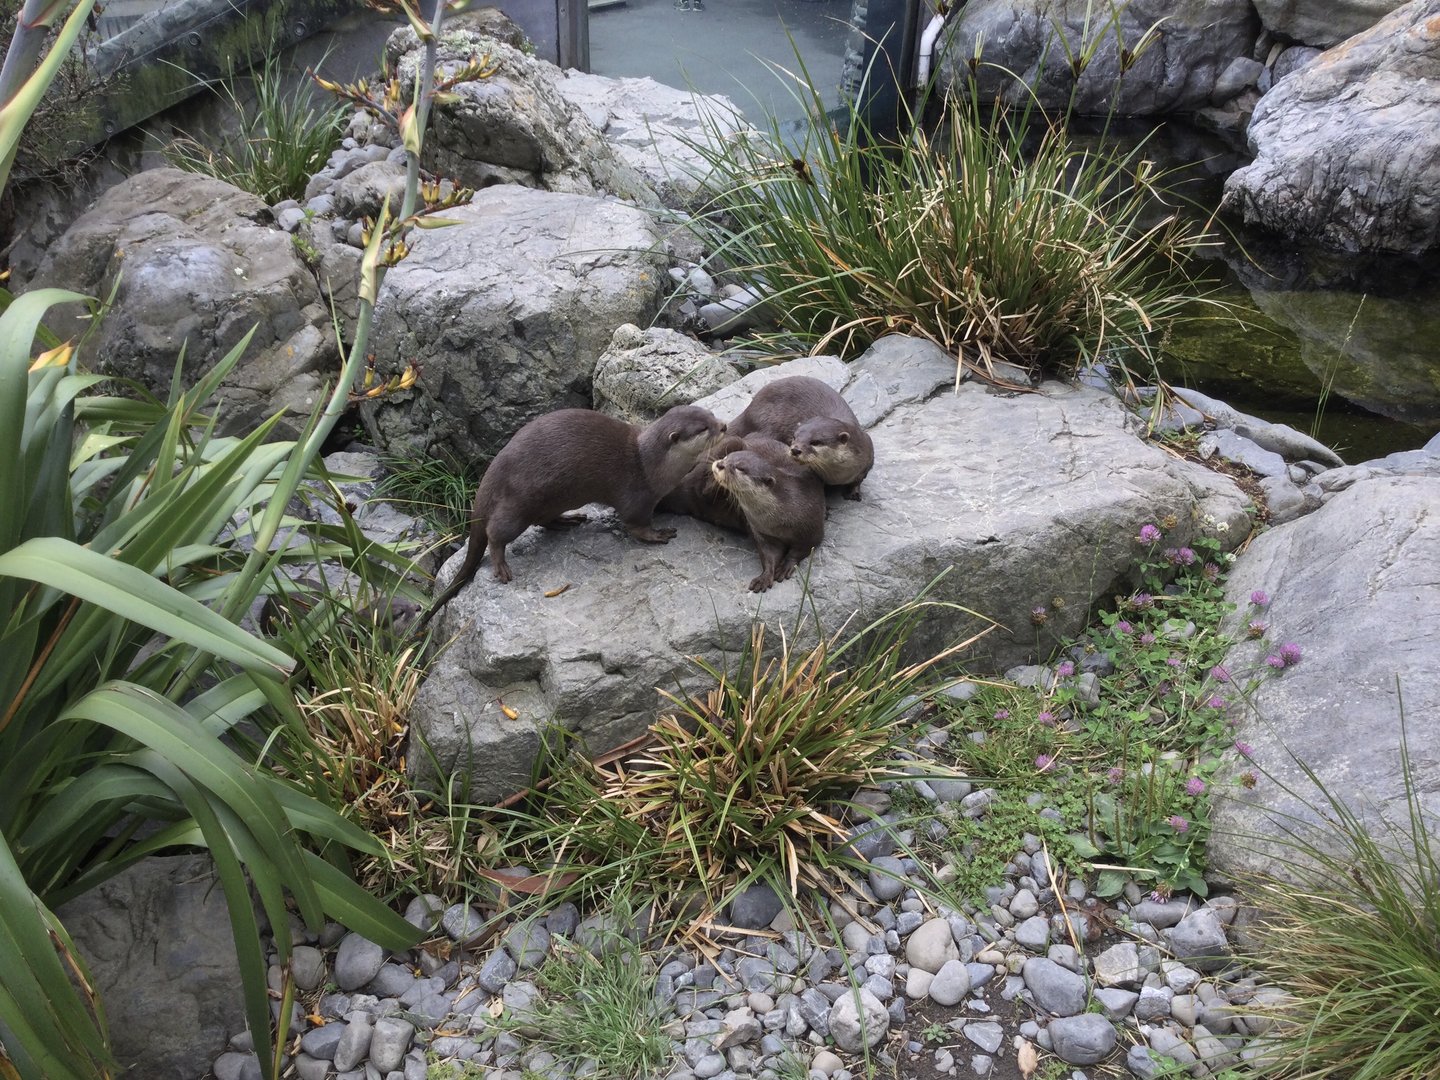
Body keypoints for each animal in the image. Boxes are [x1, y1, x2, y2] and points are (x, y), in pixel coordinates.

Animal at [414, 405, 726, 628]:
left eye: (710, 414)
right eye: (703, 428)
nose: (723, 425)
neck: (651, 465)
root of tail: (491, 475)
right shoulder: (637, 495)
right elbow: (636, 526)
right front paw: (659, 534)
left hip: (550, 500)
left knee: (541, 520)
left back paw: (568, 520)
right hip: (518, 504)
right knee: (495, 533)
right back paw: (501, 566)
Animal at [709, 437, 826, 592]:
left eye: (740, 468)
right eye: (726, 457)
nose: (720, 464)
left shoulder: (813, 529)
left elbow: (801, 550)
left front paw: (786, 566)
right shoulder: (763, 533)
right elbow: (769, 555)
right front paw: (764, 577)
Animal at [727, 375, 874, 499]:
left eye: (816, 442)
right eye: (794, 437)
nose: (795, 450)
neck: (838, 476)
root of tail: (749, 409)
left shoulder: (867, 458)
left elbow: (858, 480)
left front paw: (854, 492)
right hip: (766, 423)